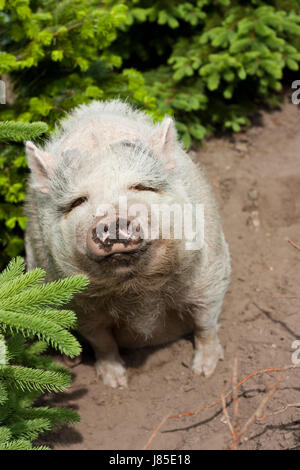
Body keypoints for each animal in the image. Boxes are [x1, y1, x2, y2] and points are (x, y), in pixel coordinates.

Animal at [24, 98, 231, 386]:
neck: (134, 288)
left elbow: (206, 321)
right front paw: (115, 383)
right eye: (78, 202)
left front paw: (204, 372)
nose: (112, 220)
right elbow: (101, 340)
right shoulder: (79, 305)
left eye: (140, 187)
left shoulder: (212, 268)